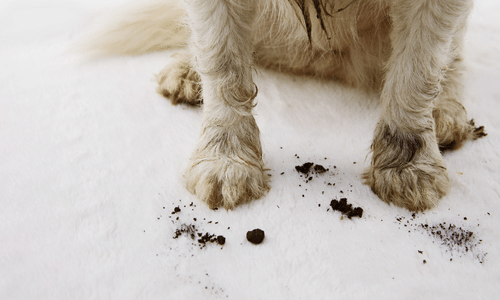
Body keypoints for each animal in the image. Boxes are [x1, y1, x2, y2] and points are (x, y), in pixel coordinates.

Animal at [81, 0, 484, 211]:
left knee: (451, 56)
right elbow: (223, 63)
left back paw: (446, 112)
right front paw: (225, 162)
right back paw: (187, 70)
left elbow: (418, 70)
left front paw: (408, 166)